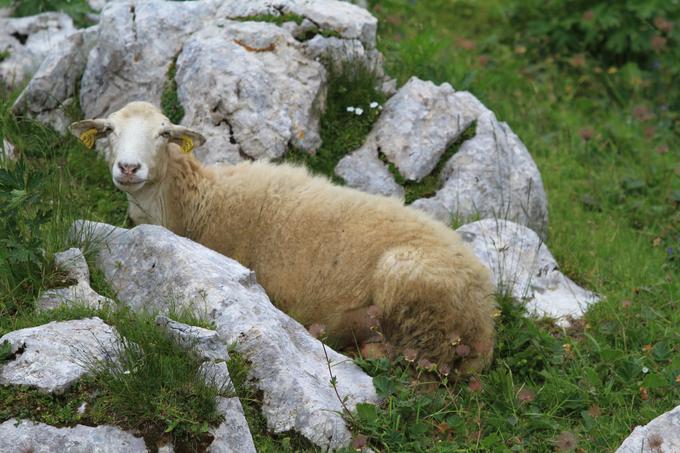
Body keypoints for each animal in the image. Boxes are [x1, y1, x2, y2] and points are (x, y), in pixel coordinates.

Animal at [71, 100, 496, 372]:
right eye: (109, 130)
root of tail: (487, 313)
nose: (129, 168)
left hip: (413, 294)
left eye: (164, 134)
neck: (202, 200)